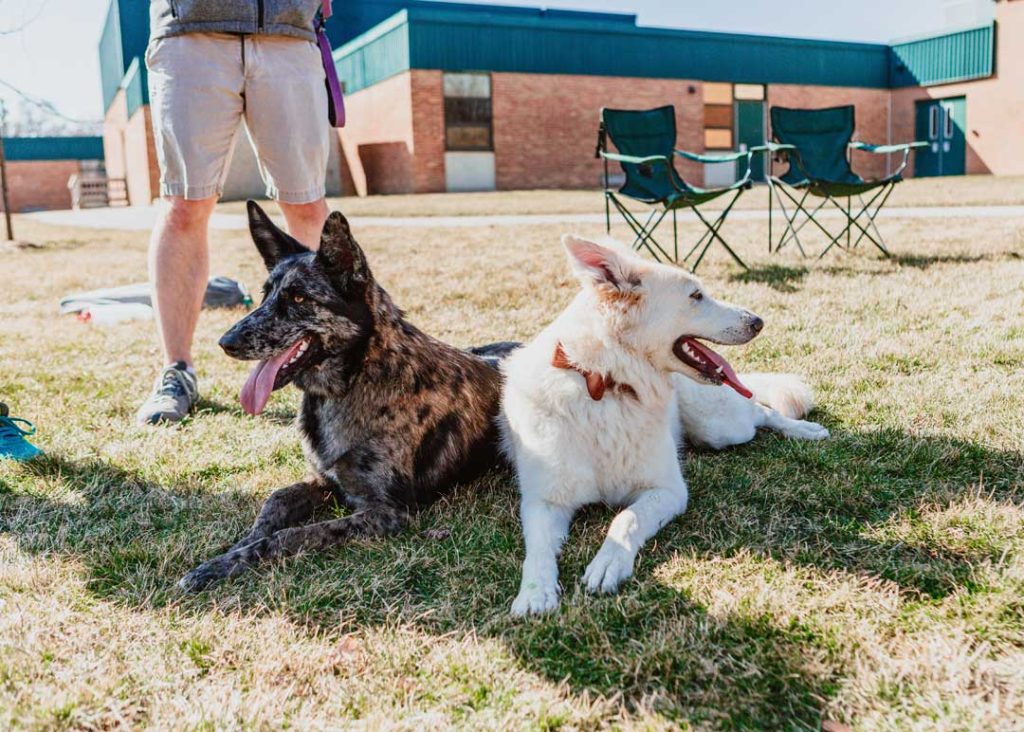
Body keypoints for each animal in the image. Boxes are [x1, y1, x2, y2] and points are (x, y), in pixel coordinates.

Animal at [499, 237, 827, 614]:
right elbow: (537, 550)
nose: (758, 322)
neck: (606, 385)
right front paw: (535, 591)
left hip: (719, 427)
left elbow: (625, 519)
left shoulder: (668, 490)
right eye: (696, 296)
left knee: (761, 410)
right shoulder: (543, 502)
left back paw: (804, 429)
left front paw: (609, 562)